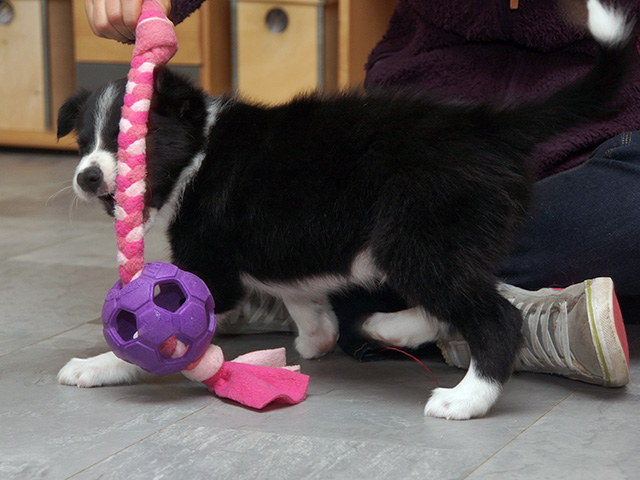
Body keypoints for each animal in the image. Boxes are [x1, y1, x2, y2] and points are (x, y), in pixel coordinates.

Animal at [56, 0, 633, 419]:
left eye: (131, 141)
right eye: (84, 142)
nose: (87, 177)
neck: (200, 147)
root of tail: (489, 125)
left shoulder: (209, 269)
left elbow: (154, 336)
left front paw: (97, 365)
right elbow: (299, 294)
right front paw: (317, 336)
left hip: (416, 233)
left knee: (497, 318)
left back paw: (464, 399)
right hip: (442, 238)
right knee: (458, 297)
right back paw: (390, 328)